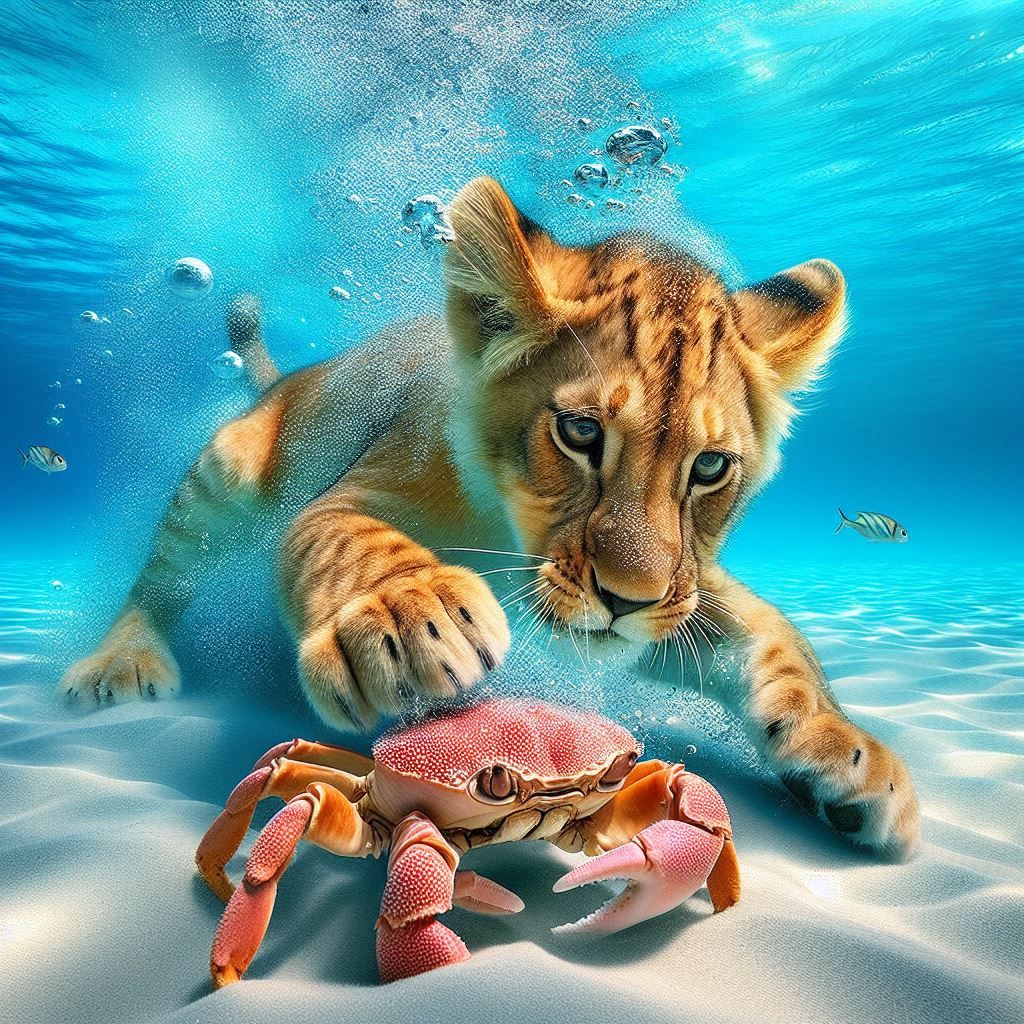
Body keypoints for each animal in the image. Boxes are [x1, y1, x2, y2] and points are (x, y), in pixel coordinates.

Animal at [61, 177, 920, 858]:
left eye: (709, 468)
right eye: (580, 433)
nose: (628, 600)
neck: (512, 534)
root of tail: (296, 375)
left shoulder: (679, 591)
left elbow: (776, 643)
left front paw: (853, 765)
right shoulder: (358, 487)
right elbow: (346, 539)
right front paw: (410, 620)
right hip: (228, 473)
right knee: (165, 573)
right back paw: (118, 666)